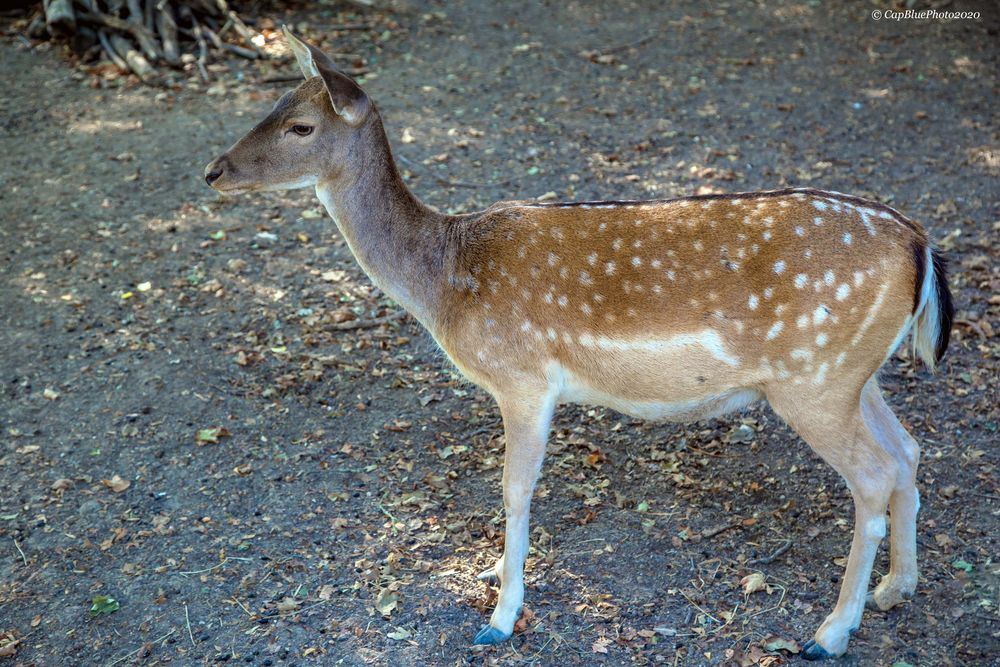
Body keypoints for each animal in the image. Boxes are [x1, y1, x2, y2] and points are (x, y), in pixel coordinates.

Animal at [201, 28, 952, 660]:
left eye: (301, 126)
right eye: (273, 102)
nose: (213, 170)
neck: (444, 278)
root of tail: (919, 244)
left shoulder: (523, 378)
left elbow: (515, 488)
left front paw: (499, 617)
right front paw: (493, 577)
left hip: (813, 378)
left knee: (873, 475)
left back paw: (831, 631)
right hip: (854, 374)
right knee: (908, 450)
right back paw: (896, 588)